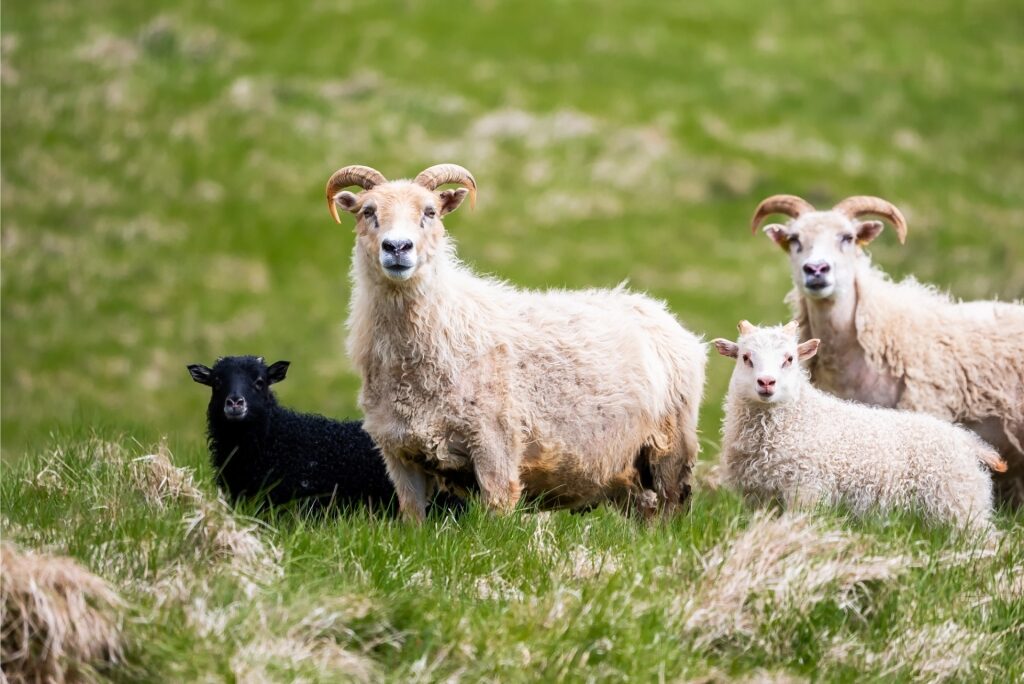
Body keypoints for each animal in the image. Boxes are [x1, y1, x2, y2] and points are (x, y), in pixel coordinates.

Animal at [323, 165, 708, 524]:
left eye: (429, 211)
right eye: (368, 210)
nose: (397, 248)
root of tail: (660, 311)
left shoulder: (495, 445)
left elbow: (497, 517)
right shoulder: (399, 454)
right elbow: (412, 518)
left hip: (670, 450)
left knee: (670, 510)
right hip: (628, 468)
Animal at [708, 321, 1003, 528]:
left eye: (789, 359)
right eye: (746, 357)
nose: (766, 382)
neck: (800, 419)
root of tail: (968, 441)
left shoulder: (806, 490)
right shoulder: (759, 497)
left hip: (961, 504)